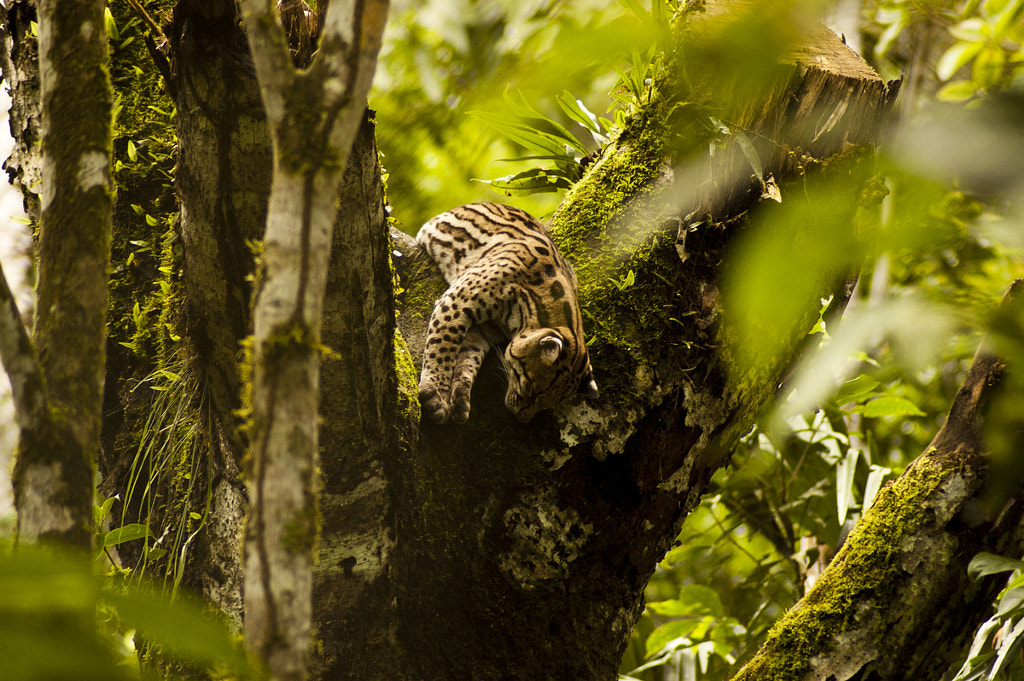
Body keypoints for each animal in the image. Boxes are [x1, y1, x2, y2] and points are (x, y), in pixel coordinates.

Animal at [415, 201, 598, 421]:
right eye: (530, 389)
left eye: (547, 405)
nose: (522, 418)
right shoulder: (457, 300)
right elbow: (442, 347)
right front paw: (437, 394)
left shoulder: (484, 328)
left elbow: (469, 355)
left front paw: (460, 397)